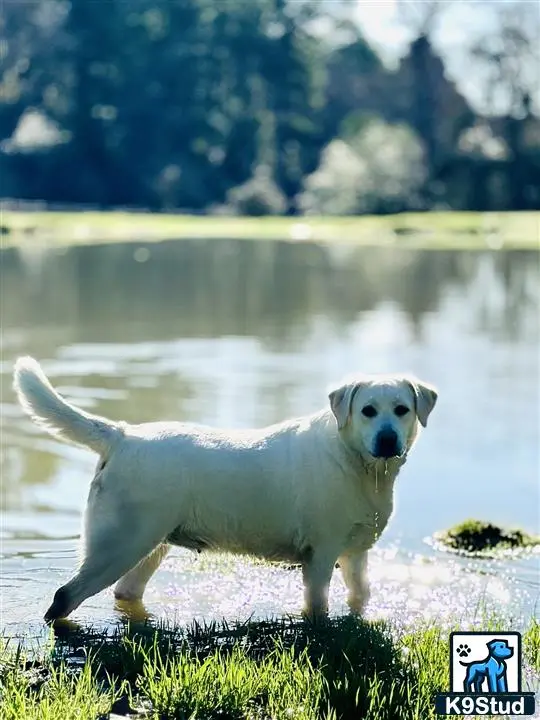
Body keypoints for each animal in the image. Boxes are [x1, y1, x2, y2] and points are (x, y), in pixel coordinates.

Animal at [13, 358, 438, 620]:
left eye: (401, 410)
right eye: (368, 411)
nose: (388, 439)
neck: (357, 464)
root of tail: (122, 435)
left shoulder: (355, 554)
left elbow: (359, 598)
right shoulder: (320, 557)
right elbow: (318, 608)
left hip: (149, 546)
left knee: (124, 592)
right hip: (117, 545)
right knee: (64, 597)